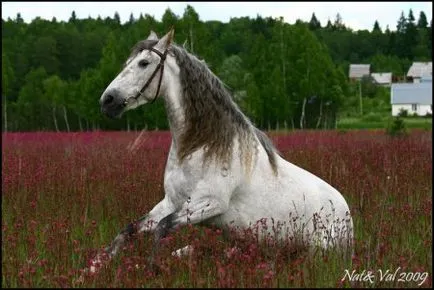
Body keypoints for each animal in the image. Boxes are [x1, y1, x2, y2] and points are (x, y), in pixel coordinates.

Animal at [91, 28, 352, 274]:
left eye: (144, 63)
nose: (107, 101)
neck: (202, 147)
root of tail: (347, 217)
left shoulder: (209, 204)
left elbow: (162, 229)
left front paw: (151, 269)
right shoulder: (171, 202)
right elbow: (129, 231)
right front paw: (94, 268)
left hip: (315, 252)